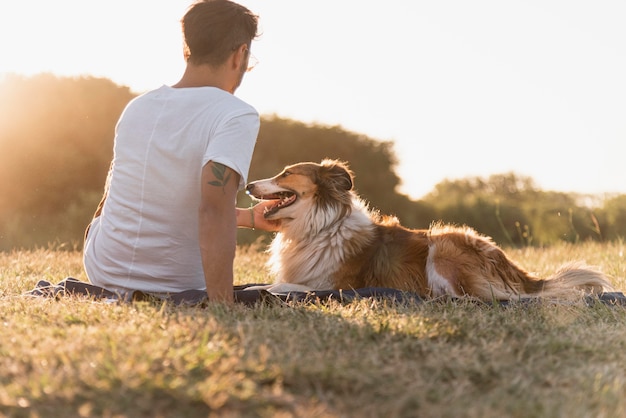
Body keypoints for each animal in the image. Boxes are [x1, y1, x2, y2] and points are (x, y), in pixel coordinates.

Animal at [245, 158, 616, 298]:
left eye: (286, 173)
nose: (247, 185)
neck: (321, 226)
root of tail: (518, 272)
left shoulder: (335, 285)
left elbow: (280, 286)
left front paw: (260, 289)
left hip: (444, 245)